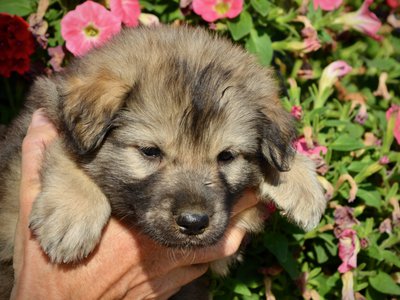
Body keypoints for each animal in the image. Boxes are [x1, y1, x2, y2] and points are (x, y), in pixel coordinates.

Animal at [0, 26, 324, 300]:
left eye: (226, 156)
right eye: (150, 151)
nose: (194, 223)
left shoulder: (221, 250)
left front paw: (301, 183)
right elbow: (62, 149)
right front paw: (72, 215)